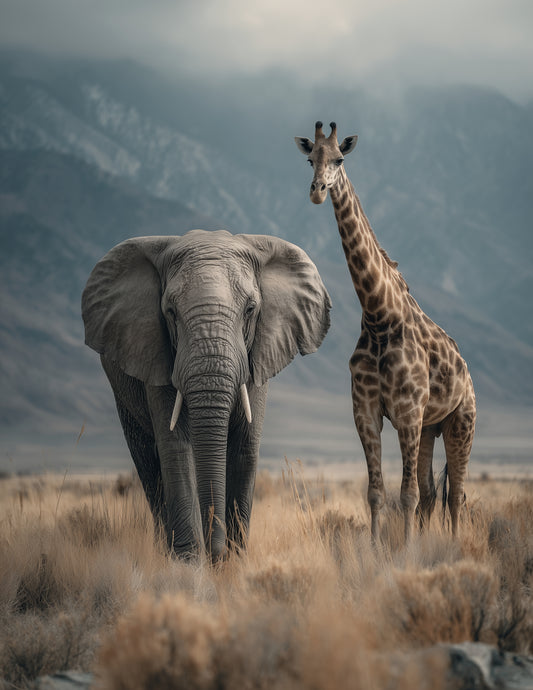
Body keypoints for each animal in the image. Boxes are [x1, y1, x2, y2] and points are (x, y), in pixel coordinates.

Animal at [82, 229, 331, 562]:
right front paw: (190, 565)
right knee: (147, 461)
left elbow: (244, 447)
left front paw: (233, 563)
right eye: (170, 312)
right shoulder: (158, 353)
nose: (217, 555)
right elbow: (176, 448)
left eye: (250, 309)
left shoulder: (258, 355)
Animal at [295, 121, 476, 543]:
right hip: (430, 427)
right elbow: (377, 492)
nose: (317, 191)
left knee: (456, 494)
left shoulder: (407, 412)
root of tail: (466, 370)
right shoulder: (366, 410)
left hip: (461, 421)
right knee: (433, 493)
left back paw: (454, 545)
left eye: (340, 159)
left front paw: (406, 551)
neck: (379, 316)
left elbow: (406, 494)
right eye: (310, 159)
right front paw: (379, 549)